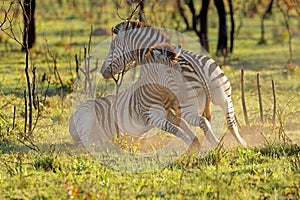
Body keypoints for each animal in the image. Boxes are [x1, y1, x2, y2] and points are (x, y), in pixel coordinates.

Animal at [69, 42, 202, 150]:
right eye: (169, 71)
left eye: (180, 69)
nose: (185, 94)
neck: (156, 92)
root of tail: (74, 113)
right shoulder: (150, 116)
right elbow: (173, 128)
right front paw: (191, 144)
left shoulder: (166, 112)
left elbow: (181, 122)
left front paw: (195, 141)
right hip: (87, 118)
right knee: (85, 141)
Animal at [100, 19, 246, 146]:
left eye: (112, 47)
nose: (103, 72)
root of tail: (197, 68)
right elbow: (177, 121)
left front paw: (137, 139)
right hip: (224, 95)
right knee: (230, 123)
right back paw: (241, 144)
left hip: (189, 104)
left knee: (204, 121)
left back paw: (216, 143)